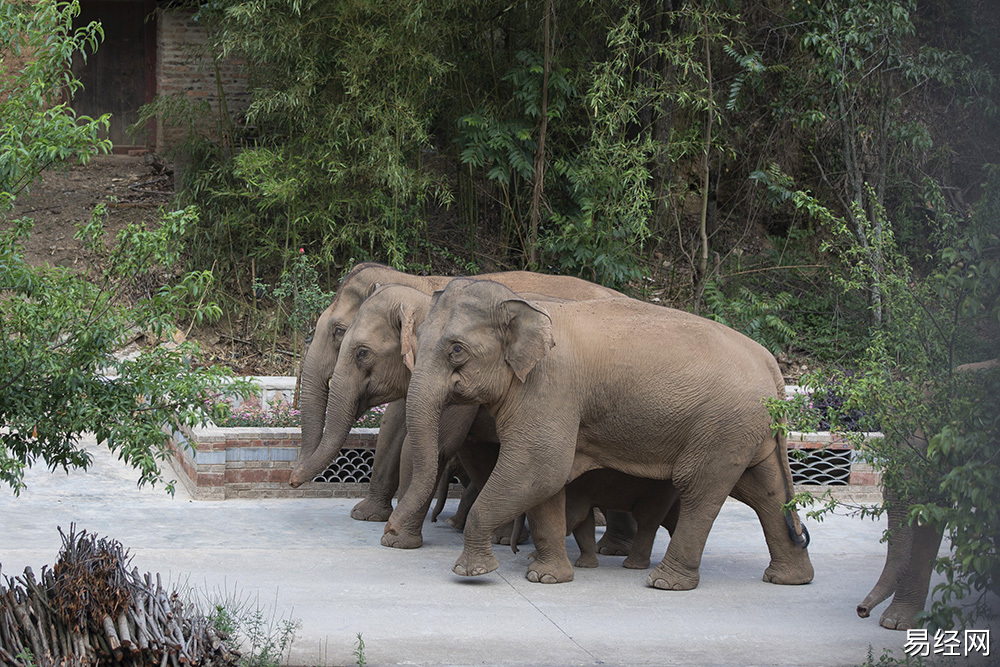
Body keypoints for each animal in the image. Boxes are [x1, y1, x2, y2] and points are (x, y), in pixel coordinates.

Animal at [382, 278, 812, 588]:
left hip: (723, 425)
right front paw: (546, 578)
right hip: (746, 428)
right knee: (766, 491)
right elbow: (547, 481)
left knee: (699, 488)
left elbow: (539, 467)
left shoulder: (550, 388)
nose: (390, 536)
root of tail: (772, 367)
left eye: (456, 350)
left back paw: (664, 582)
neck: (525, 305)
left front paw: (473, 572)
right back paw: (789, 579)